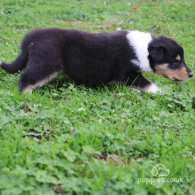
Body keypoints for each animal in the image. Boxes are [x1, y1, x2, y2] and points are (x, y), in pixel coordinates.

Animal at [0, 28, 192, 93]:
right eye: (176, 61)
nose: (191, 74)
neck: (144, 49)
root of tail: (30, 40)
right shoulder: (127, 74)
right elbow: (148, 84)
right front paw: (161, 93)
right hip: (47, 63)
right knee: (26, 78)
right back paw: (27, 95)